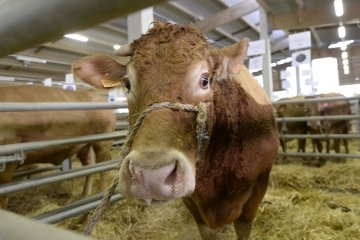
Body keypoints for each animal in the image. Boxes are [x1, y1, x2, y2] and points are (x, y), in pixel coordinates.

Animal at [73, 21, 280, 239]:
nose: (152, 175)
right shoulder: (194, 206)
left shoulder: (258, 188)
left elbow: (243, 227)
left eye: (205, 80)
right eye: (127, 84)